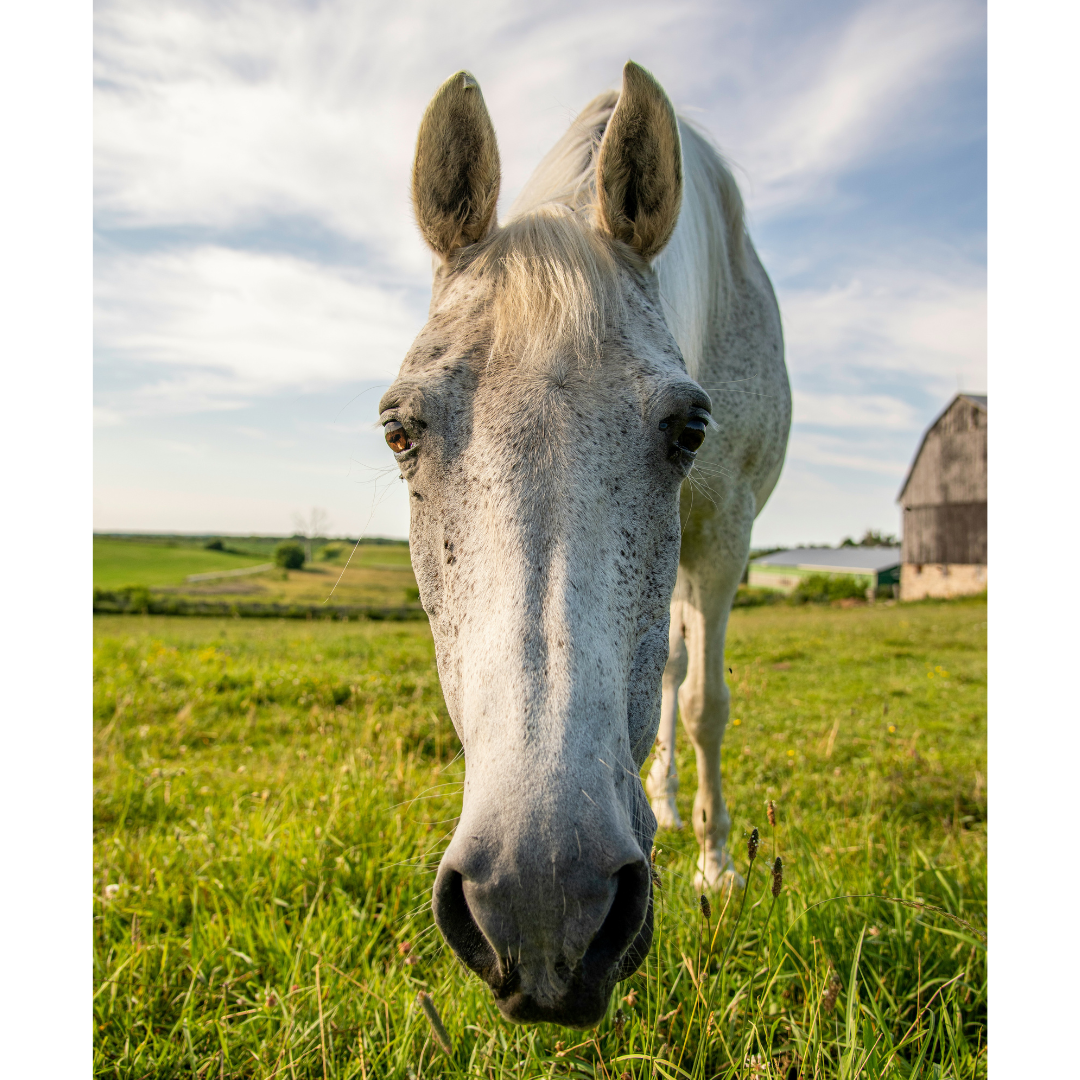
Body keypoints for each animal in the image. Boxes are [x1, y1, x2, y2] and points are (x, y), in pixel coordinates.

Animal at [380, 62, 790, 1027]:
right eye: (398, 433)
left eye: (689, 430)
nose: (538, 902)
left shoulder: (727, 535)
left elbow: (706, 702)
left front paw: (720, 869)